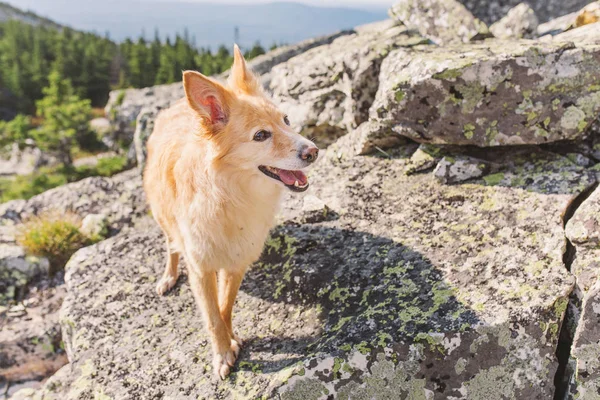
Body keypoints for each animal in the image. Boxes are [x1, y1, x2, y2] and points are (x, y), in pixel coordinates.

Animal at [144, 45, 318, 380]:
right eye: (261, 136)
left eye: (286, 120)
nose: (313, 151)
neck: (231, 196)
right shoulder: (200, 268)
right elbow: (212, 317)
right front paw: (222, 353)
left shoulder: (238, 260)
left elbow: (225, 306)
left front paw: (232, 338)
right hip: (163, 218)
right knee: (170, 245)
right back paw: (169, 275)